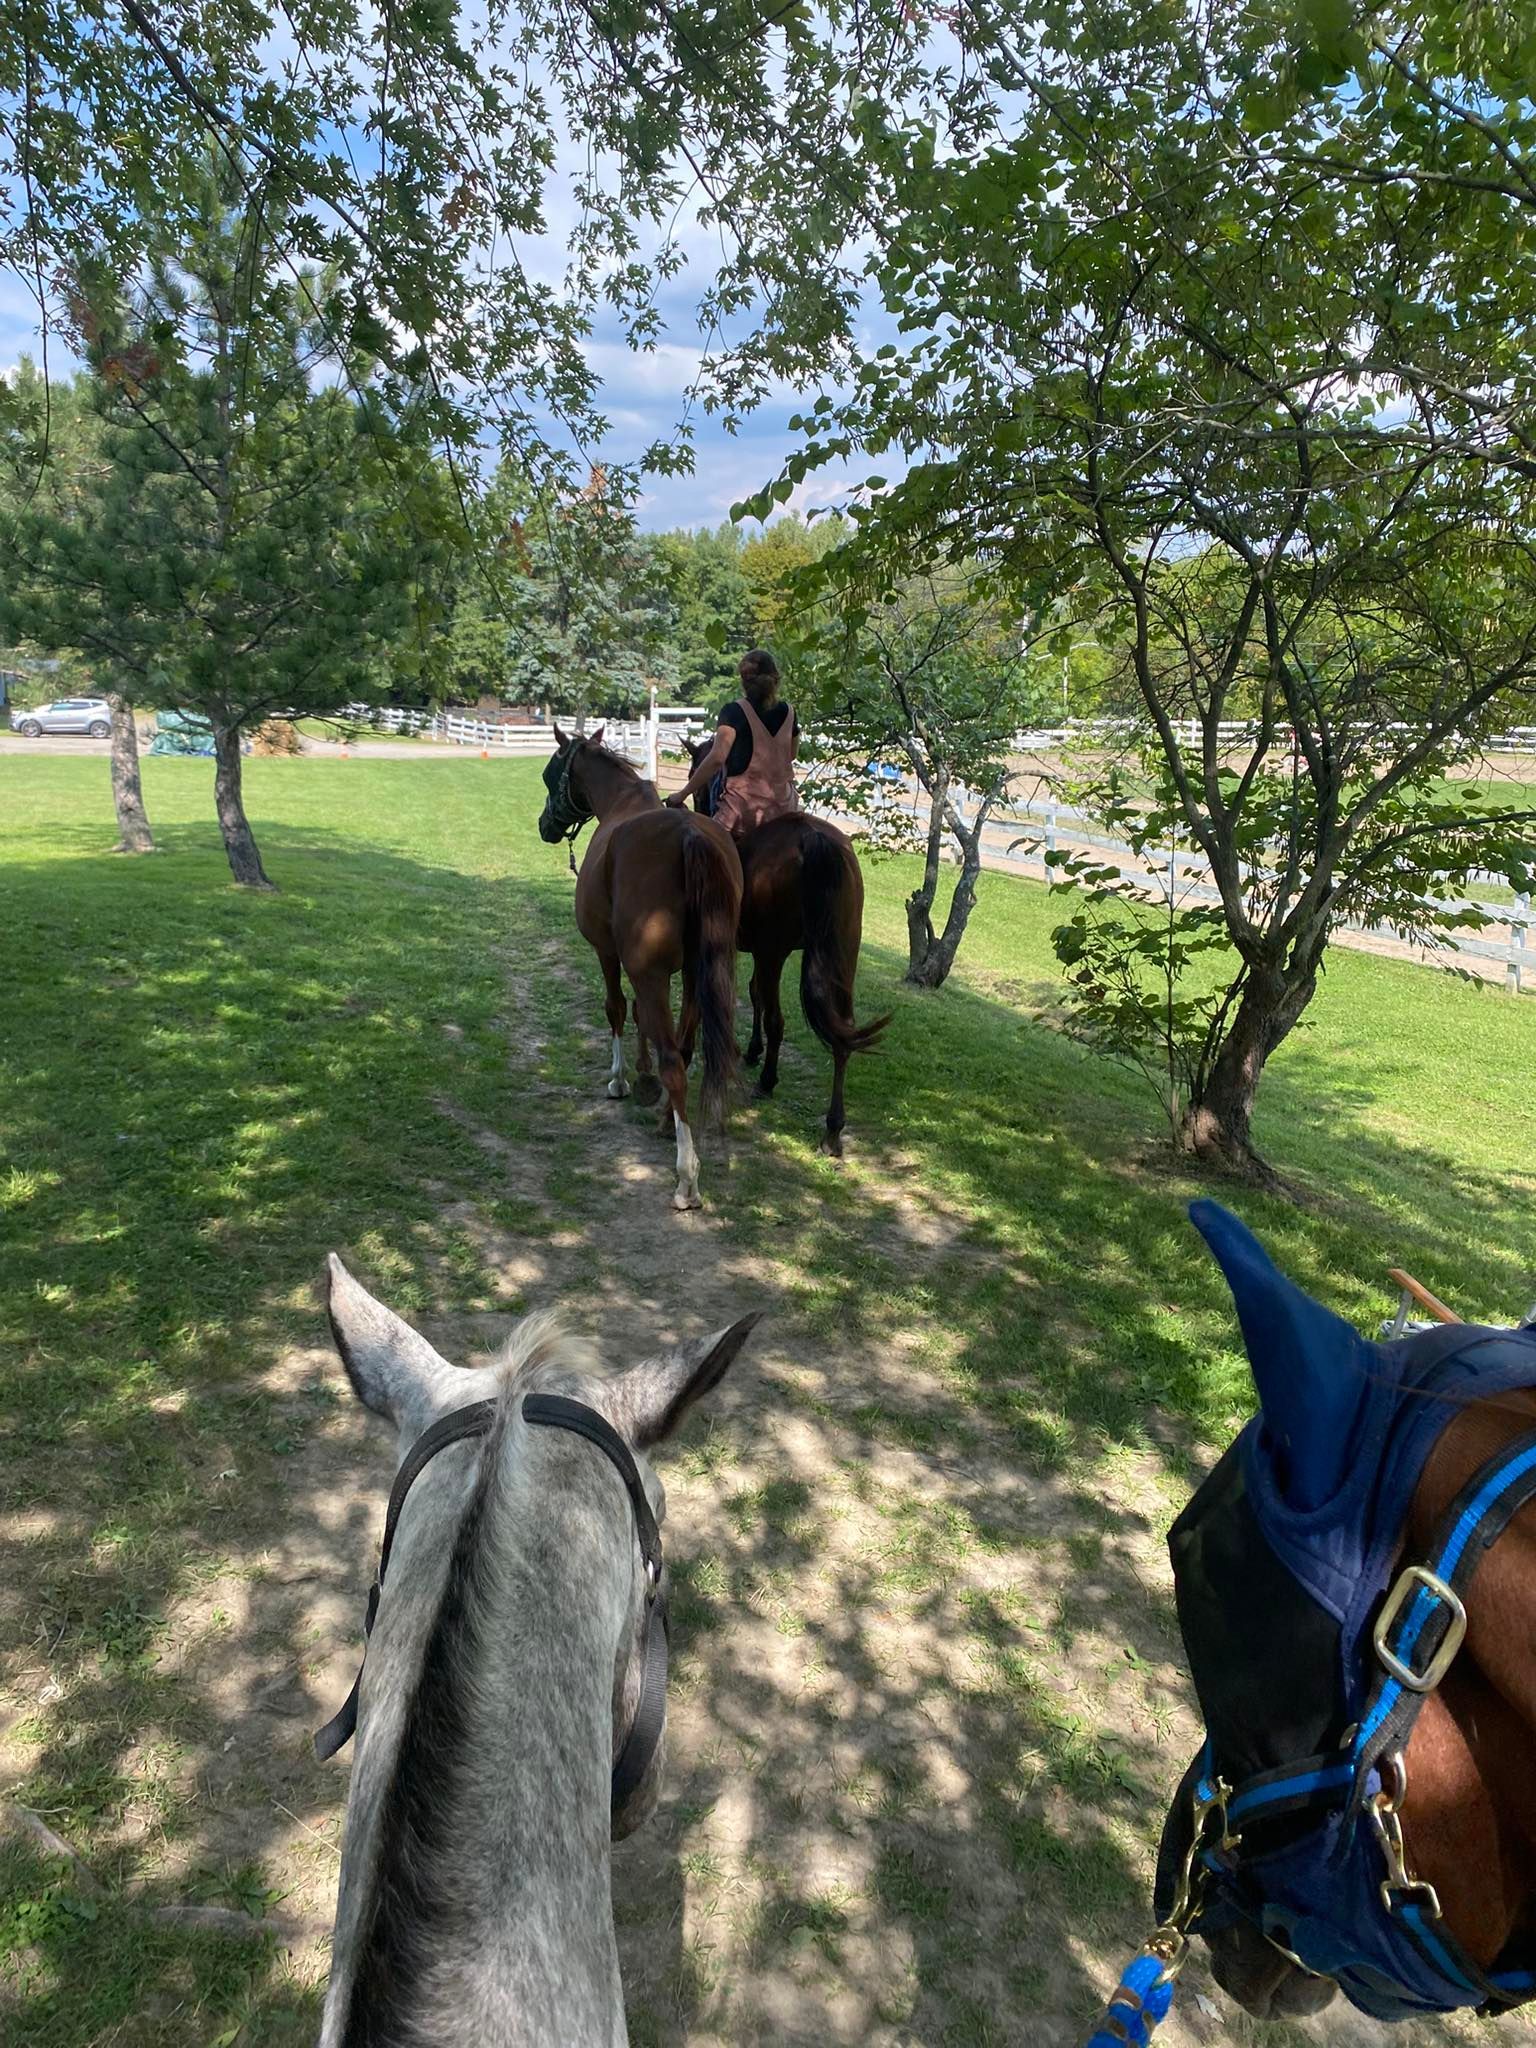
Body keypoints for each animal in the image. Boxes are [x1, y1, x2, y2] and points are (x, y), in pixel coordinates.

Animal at [537, 728, 742, 1211]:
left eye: (551, 774)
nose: (544, 825)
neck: (622, 803)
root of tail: (689, 834)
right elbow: (639, 1018)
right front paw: (643, 1071)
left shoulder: (608, 953)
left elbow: (615, 1008)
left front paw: (621, 1078)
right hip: (698, 974)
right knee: (684, 1050)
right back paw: (669, 1122)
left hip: (650, 972)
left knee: (674, 1061)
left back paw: (686, 1178)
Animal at [684, 735, 889, 1155]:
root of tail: (813, 839)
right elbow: (754, 995)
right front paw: (752, 1049)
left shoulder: (759, 952)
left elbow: (755, 999)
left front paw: (751, 1052)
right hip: (844, 951)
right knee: (842, 1032)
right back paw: (833, 1129)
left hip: (774, 952)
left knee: (778, 1019)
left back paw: (768, 1081)